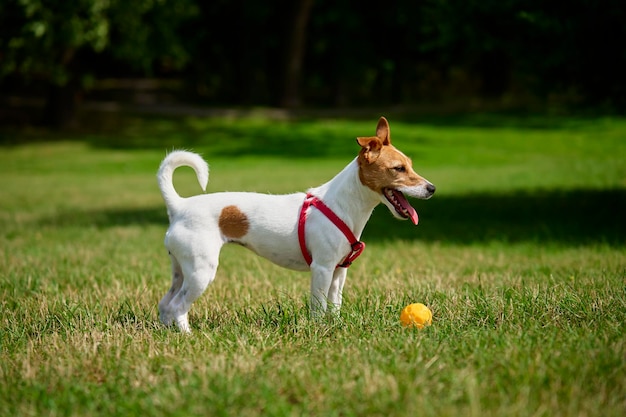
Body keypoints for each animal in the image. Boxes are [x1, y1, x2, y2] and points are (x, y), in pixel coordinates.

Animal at [158, 117, 434, 332]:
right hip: (201, 271)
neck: (342, 205)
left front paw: (335, 327)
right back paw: (187, 335)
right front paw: (318, 330)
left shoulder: (339, 272)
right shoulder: (322, 269)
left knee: (165, 303)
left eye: (410, 165)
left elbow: (334, 305)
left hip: (182, 270)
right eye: (398, 168)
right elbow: (319, 306)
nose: (432, 188)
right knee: (178, 305)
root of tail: (179, 206)